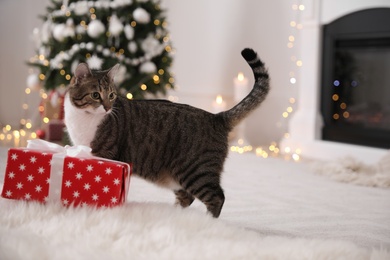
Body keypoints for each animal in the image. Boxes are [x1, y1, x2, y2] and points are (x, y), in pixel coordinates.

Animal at [64, 48, 272, 217]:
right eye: (96, 95)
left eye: (111, 95)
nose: (107, 108)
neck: (83, 118)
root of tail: (217, 117)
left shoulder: (105, 153)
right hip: (176, 177)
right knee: (187, 198)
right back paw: (173, 215)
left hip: (196, 171)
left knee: (216, 197)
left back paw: (207, 221)